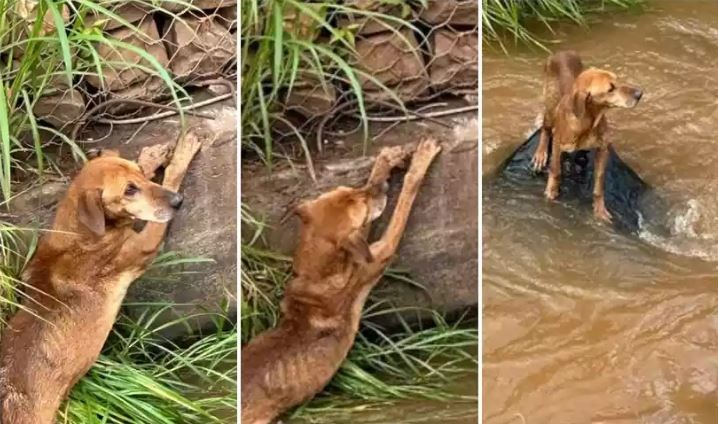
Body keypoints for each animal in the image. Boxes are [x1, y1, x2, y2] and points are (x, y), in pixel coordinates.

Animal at [0, 131, 204, 422]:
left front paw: (152, 155)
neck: (80, 232)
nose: (178, 201)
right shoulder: (142, 245)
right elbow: (170, 180)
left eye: (138, 176)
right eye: (129, 191)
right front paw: (181, 156)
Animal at [242, 137, 444, 422]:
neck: (317, 273)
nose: (380, 190)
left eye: (355, 191)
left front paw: (387, 161)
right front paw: (420, 161)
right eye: (364, 207)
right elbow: (404, 201)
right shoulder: (373, 258)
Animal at [532, 50, 644, 222]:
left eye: (617, 80)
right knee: (545, 128)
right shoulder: (558, 142)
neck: (588, 121)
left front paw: (600, 210)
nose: (639, 94)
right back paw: (540, 154)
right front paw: (551, 191)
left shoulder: (603, 149)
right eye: (610, 89)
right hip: (550, 105)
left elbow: (599, 184)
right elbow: (556, 170)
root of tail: (561, 52)